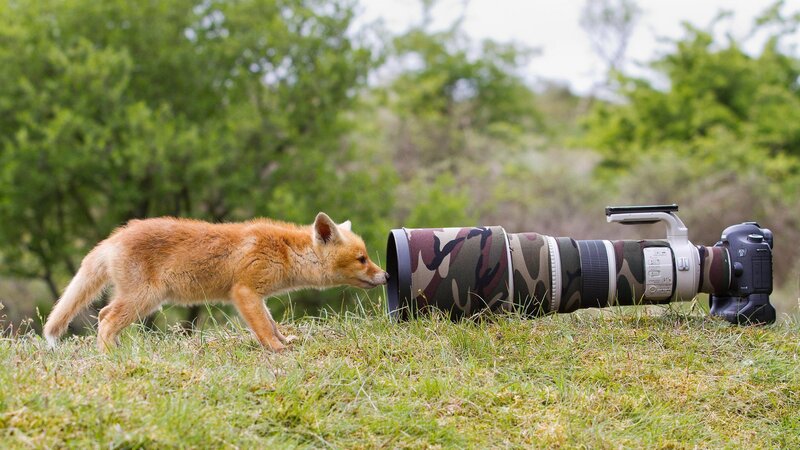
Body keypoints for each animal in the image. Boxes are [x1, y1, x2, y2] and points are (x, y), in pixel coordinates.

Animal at [43, 212, 389, 352]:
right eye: (362, 258)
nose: (386, 276)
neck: (285, 251)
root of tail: (114, 237)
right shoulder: (245, 292)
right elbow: (264, 329)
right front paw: (277, 349)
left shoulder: (258, 297)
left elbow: (272, 323)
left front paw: (285, 340)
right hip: (144, 298)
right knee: (105, 319)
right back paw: (109, 356)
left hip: (138, 299)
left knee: (103, 315)